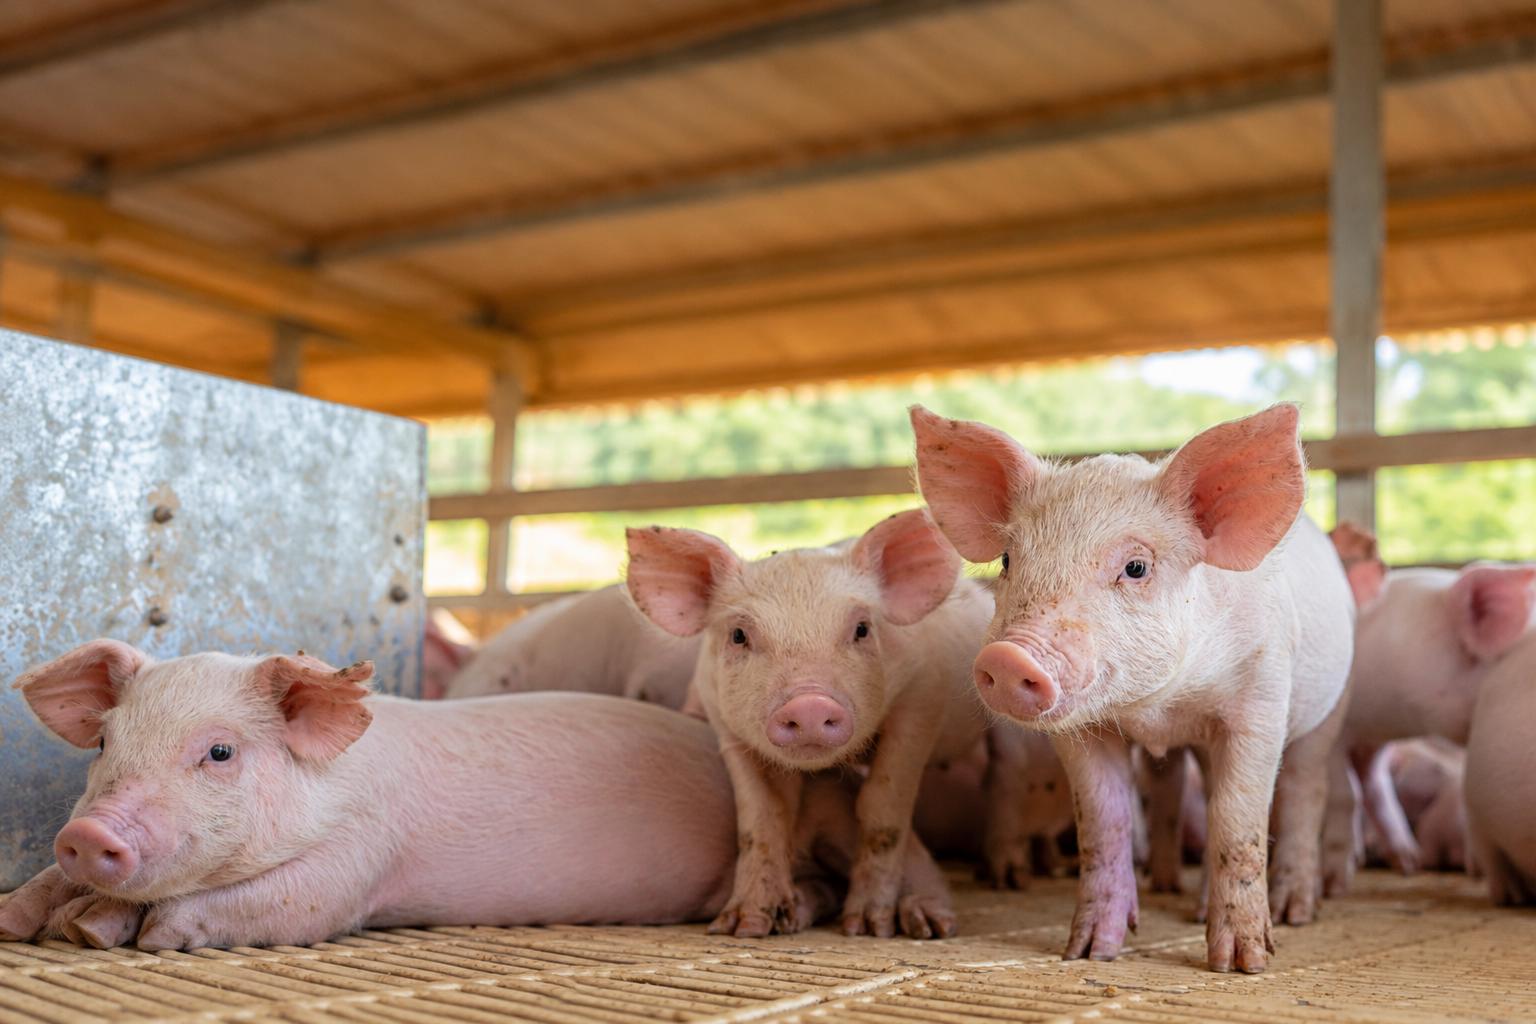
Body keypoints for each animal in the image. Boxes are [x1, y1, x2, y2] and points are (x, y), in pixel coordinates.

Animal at [0, 641, 875, 950]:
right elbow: (45, 884)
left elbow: (282, 902)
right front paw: (48, 921)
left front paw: (130, 932)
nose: (90, 833)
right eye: (106, 743)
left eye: (219, 751)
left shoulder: (357, 862)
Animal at [625, 508, 991, 940]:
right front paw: (742, 927)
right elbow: (760, 818)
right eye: (738, 635)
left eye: (862, 628)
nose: (810, 703)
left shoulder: (921, 700)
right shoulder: (727, 729)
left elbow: (883, 808)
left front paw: (867, 927)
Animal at [911, 403, 1354, 974]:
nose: (1008, 657)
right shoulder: (1081, 732)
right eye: (1009, 559)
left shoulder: (1261, 698)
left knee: (1304, 788)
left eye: (1136, 566)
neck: (1160, 710)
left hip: (1331, 707)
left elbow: (1239, 820)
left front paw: (1242, 965)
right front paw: (1089, 953)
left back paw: (1296, 911)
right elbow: (1103, 822)